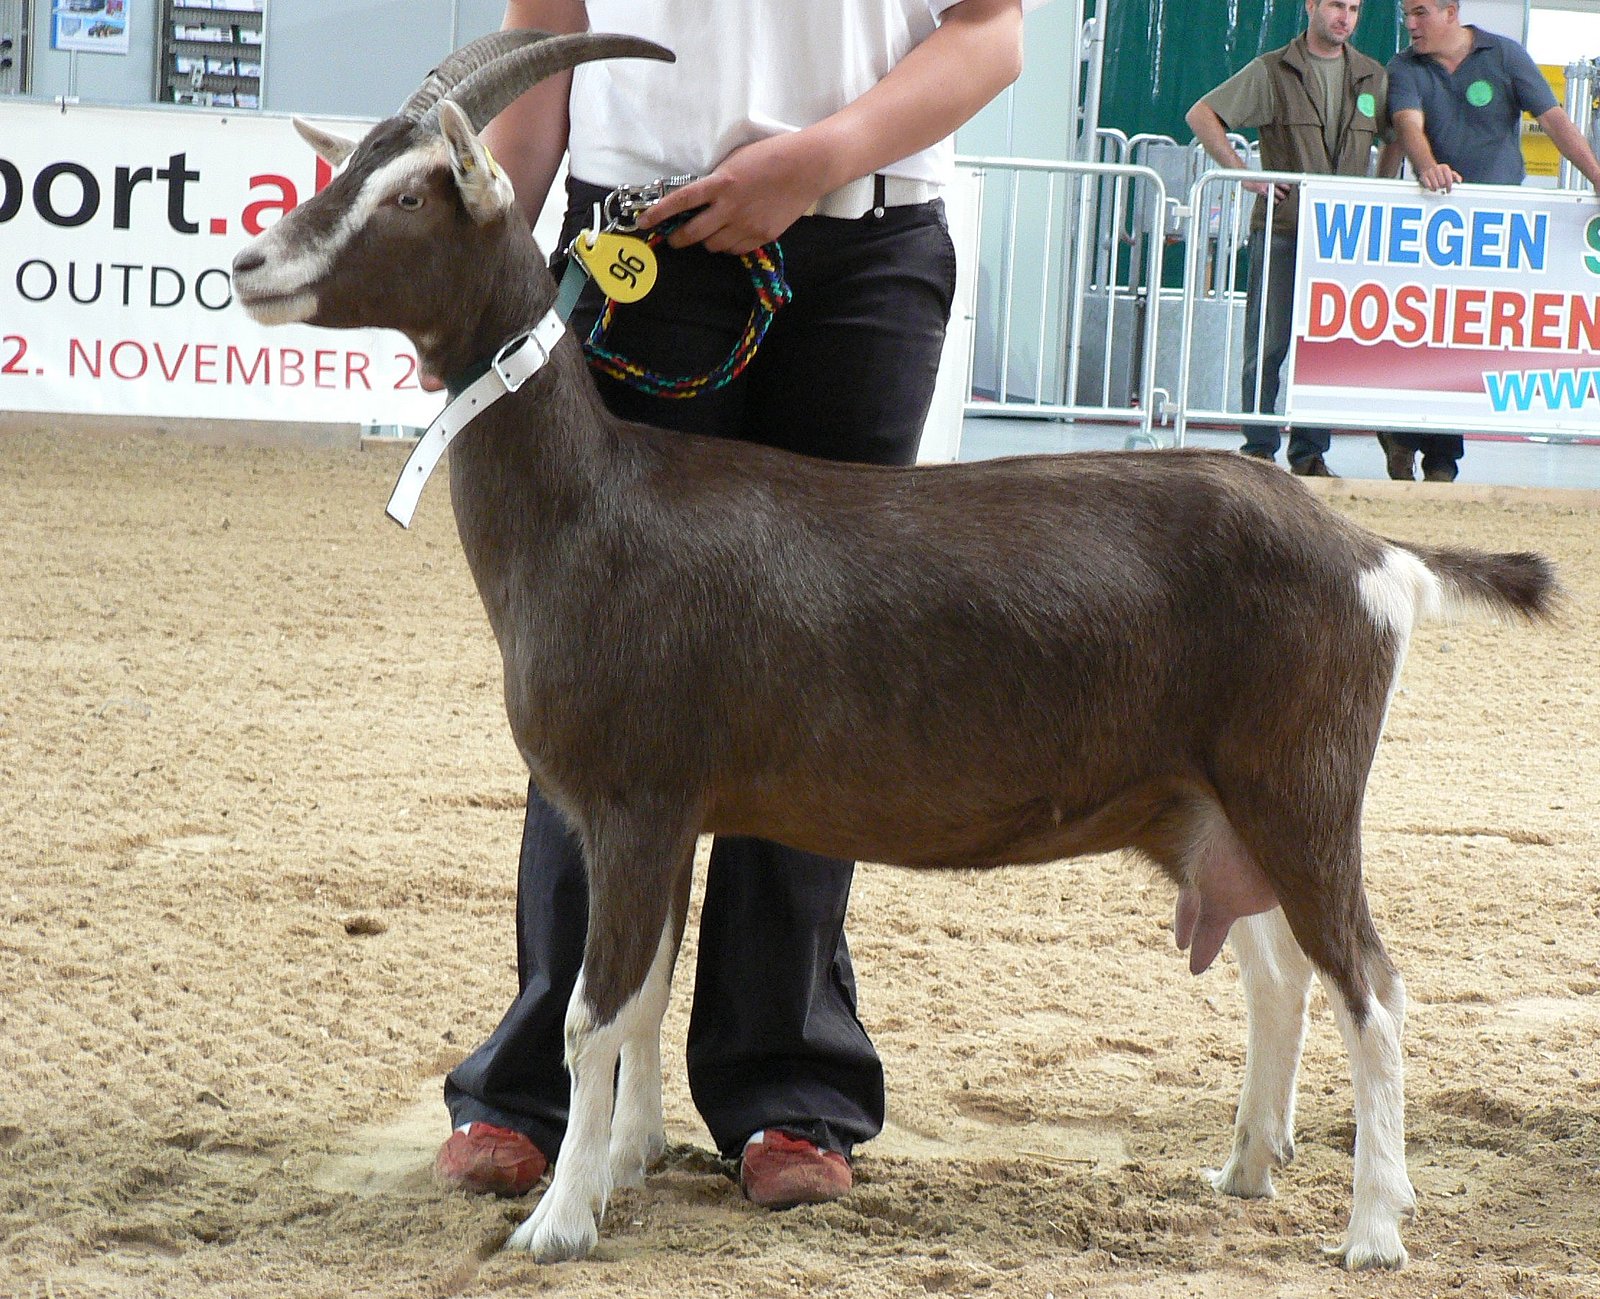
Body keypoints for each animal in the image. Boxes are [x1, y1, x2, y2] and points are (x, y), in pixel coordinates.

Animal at [231, 31, 1557, 1270]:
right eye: (347, 165)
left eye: (410, 195)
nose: (248, 262)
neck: (596, 503)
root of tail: (1369, 554)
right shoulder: (671, 813)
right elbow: (648, 996)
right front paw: (623, 1167)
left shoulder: (631, 800)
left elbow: (591, 1014)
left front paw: (557, 1224)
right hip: (1215, 804)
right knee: (1280, 976)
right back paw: (1243, 1169)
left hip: (1303, 784)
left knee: (1371, 986)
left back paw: (1373, 1229)